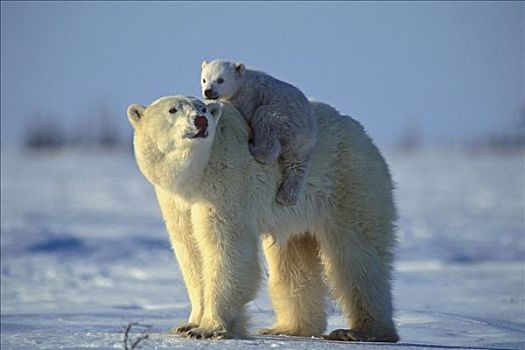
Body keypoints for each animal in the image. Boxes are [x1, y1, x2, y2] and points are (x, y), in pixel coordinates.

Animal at [127, 95, 398, 342]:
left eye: (202, 108)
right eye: (172, 109)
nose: (200, 120)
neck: (196, 177)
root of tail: (363, 134)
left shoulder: (226, 181)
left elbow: (225, 248)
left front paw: (208, 328)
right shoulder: (176, 202)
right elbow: (191, 251)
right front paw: (187, 324)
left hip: (349, 182)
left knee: (357, 255)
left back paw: (362, 331)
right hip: (298, 213)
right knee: (293, 262)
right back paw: (288, 328)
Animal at [200, 60, 316, 206]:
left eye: (220, 80)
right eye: (204, 79)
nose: (208, 92)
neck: (243, 79)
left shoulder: (249, 94)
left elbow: (243, 108)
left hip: (285, 119)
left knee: (264, 118)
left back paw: (255, 148)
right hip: (301, 148)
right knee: (296, 167)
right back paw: (285, 197)